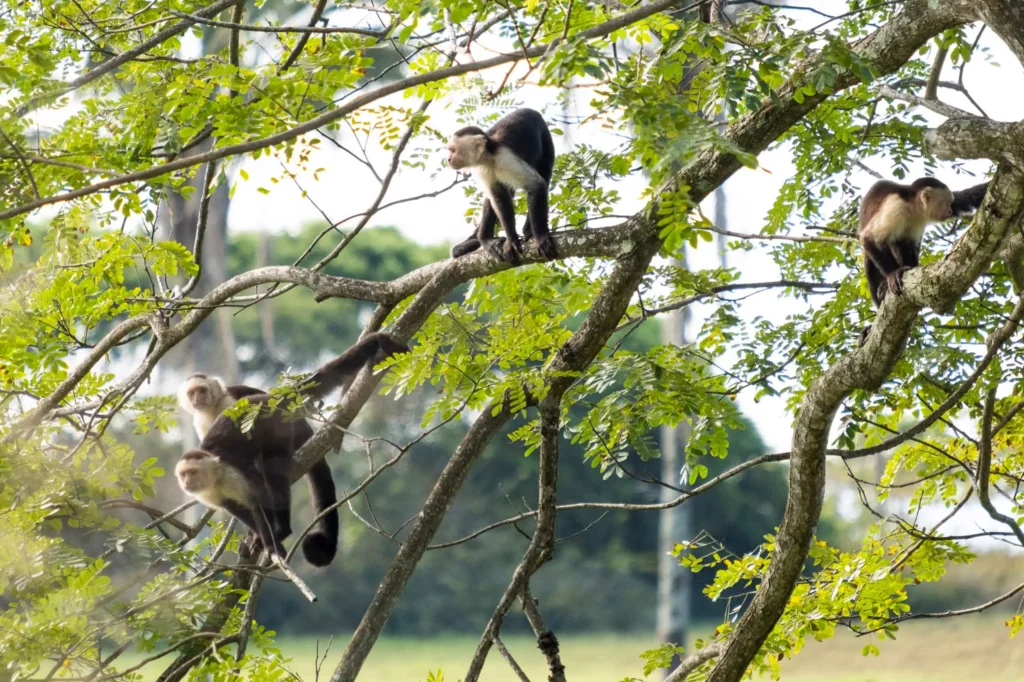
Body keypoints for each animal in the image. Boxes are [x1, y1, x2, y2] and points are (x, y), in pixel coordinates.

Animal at [174, 333, 408, 565]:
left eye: (202, 390)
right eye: (192, 393)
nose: (198, 399)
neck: (214, 479)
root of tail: (275, 398)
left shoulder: (229, 413)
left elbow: (257, 498)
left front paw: (270, 543)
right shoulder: (210, 487)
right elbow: (239, 509)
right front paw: (256, 535)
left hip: (281, 428)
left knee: (271, 467)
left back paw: (283, 529)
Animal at [447, 108, 558, 265]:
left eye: (453, 150)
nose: (448, 159)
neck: (489, 156)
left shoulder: (505, 158)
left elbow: (536, 185)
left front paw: (540, 236)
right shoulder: (482, 169)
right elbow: (498, 196)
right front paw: (511, 240)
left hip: (545, 135)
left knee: (545, 174)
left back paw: (529, 231)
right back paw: (484, 239)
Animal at [857, 178, 989, 345]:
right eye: (946, 203)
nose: (950, 211)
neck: (912, 206)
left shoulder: (918, 220)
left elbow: (909, 247)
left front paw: (908, 269)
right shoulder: (895, 207)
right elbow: (869, 239)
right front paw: (893, 273)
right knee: (871, 260)